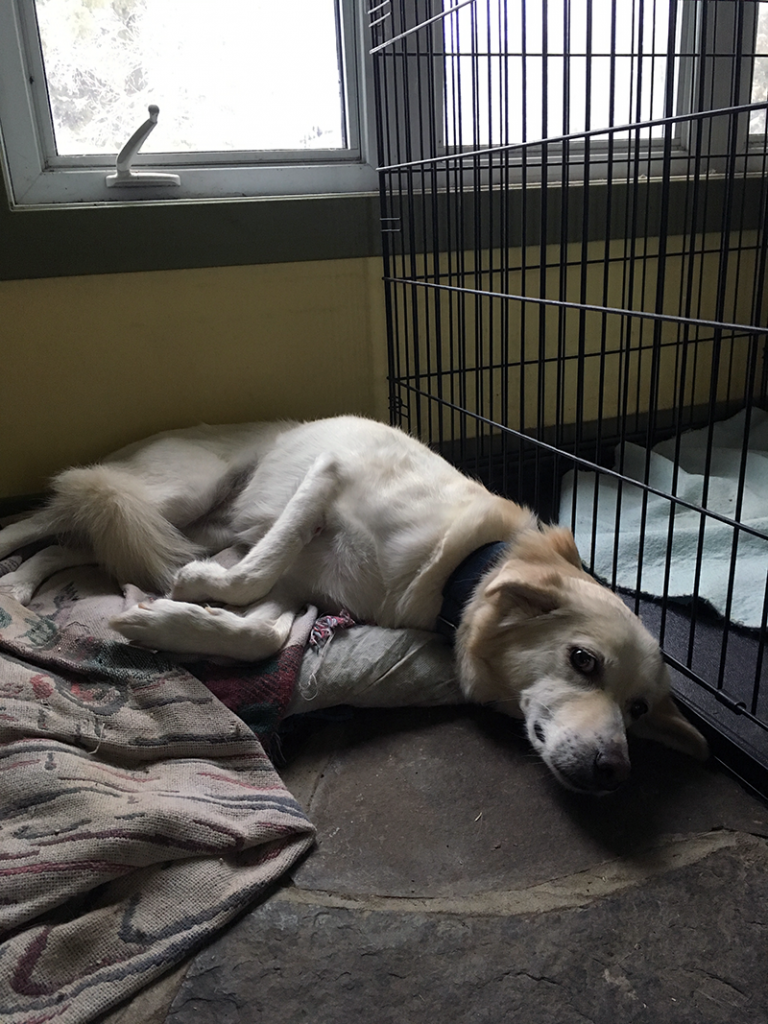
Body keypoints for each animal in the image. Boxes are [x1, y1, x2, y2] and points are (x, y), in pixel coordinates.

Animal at [0, 415, 708, 790]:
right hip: (181, 496)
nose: (615, 769)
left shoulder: (296, 590)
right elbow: (252, 574)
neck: (457, 562)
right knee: (51, 517)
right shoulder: (327, 477)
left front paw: (172, 618)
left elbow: (259, 632)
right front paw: (191, 593)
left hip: (167, 524)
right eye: (584, 661)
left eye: (639, 709)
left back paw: (22, 589)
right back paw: (18, 565)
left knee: (76, 545)